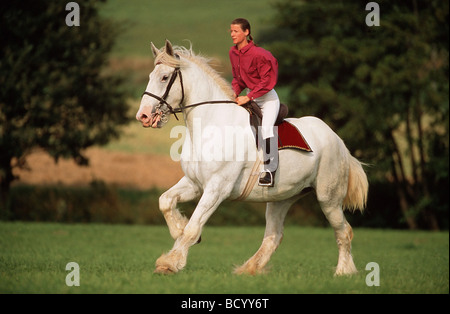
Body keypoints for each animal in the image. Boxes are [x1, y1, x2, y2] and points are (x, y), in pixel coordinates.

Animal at [135, 40, 368, 276]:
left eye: (164, 77)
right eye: (150, 75)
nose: (143, 116)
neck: (211, 124)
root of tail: (337, 139)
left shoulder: (216, 189)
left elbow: (193, 227)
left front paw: (170, 263)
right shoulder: (194, 184)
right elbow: (165, 201)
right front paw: (177, 231)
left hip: (328, 198)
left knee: (343, 231)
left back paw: (344, 272)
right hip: (281, 198)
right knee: (273, 236)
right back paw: (249, 269)